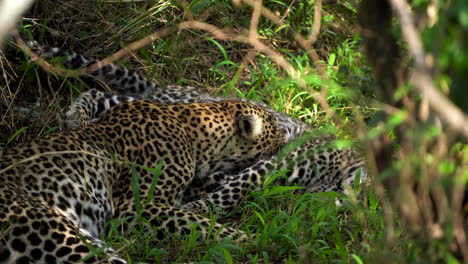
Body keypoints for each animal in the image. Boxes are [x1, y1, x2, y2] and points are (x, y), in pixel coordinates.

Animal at [0, 98, 286, 262]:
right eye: (275, 127)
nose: (287, 137)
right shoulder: (136, 208)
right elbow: (206, 225)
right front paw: (259, 241)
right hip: (57, 234)